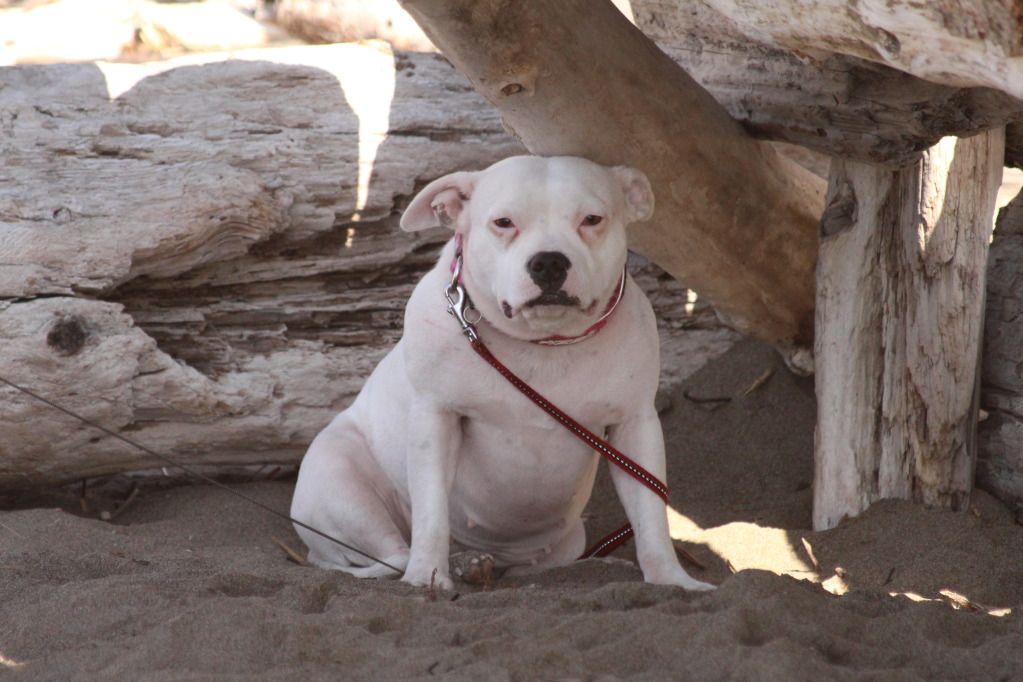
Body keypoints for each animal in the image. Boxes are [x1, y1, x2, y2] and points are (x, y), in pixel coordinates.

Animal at [292, 156, 716, 593]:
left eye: (592, 219)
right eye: (503, 222)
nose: (549, 261)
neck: (542, 343)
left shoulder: (634, 426)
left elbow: (651, 512)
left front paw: (672, 580)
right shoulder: (435, 419)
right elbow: (431, 513)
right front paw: (427, 575)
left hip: (564, 543)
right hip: (339, 483)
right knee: (390, 553)